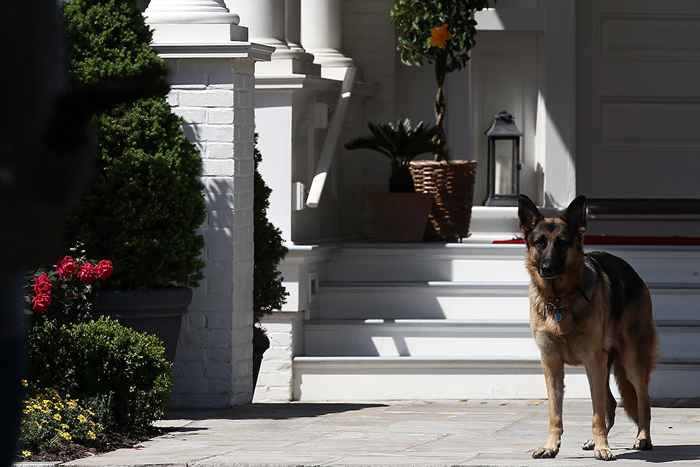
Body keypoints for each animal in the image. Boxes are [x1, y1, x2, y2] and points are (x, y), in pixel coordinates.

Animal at [516, 196, 660, 462]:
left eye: (562, 243)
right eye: (540, 243)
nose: (547, 268)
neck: (559, 299)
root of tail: (631, 270)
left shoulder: (593, 361)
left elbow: (597, 414)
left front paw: (603, 448)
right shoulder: (552, 364)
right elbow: (555, 413)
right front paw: (551, 446)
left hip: (631, 362)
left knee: (642, 402)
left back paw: (642, 438)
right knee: (611, 402)